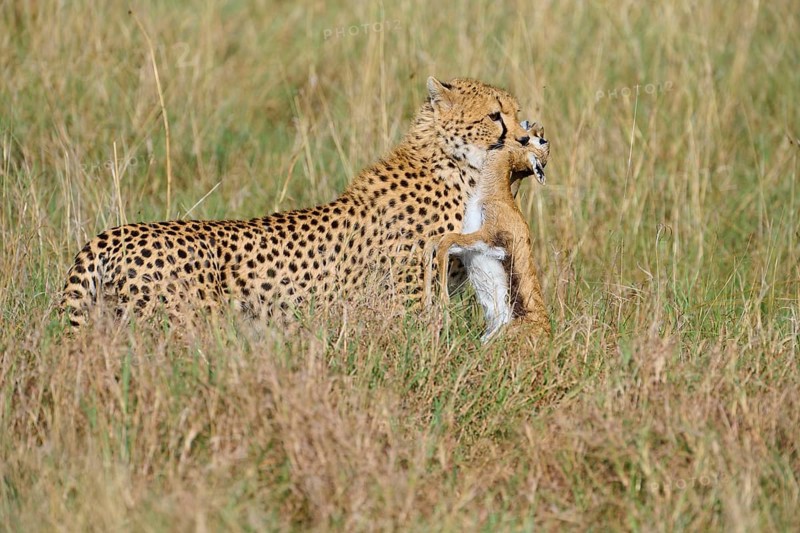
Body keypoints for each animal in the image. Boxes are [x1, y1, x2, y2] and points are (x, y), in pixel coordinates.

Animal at [61, 77, 540, 328]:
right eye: (495, 115)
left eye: (518, 115)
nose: (525, 138)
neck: (456, 165)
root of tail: (111, 235)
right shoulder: (403, 295)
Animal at [435, 122, 551, 343]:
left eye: (541, 140)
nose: (537, 125)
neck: (494, 194)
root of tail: (546, 330)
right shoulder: (468, 247)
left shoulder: (488, 238)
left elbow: (446, 240)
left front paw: (443, 302)